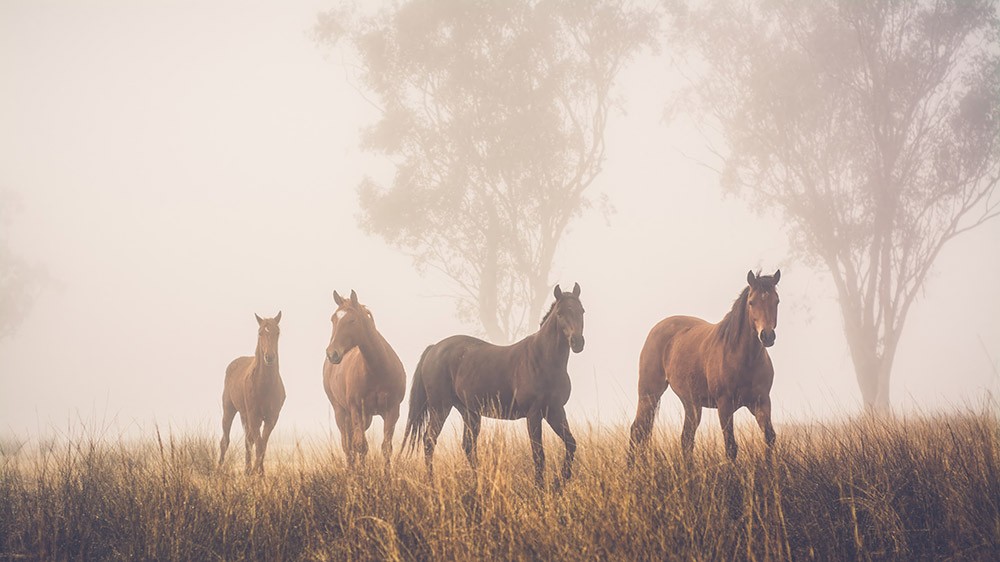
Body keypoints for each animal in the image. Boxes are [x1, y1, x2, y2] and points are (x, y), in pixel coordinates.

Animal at [217, 310, 284, 472]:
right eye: (260, 332)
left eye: (277, 332)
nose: (269, 357)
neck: (265, 386)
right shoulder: (254, 417)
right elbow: (259, 445)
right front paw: (256, 472)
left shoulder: (271, 419)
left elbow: (262, 445)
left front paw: (259, 472)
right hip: (230, 410)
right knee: (225, 441)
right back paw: (219, 469)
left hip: (245, 415)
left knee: (248, 441)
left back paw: (247, 470)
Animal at [326, 288, 408, 468]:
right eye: (333, 319)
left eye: (352, 320)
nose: (331, 353)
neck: (377, 370)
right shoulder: (356, 409)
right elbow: (360, 446)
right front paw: (361, 474)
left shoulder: (392, 410)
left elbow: (386, 448)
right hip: (341, 413)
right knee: (348, 447)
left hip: (366, 418)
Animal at [400, 282, 584, 484]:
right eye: (560, 314)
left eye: (581, 311)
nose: (577, 342)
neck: (543, 360)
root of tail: (434, 349)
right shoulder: (534, 414)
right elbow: (538, 454)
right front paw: (541, 486)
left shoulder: (555, 411)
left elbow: (571, 444)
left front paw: (560, 481)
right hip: (440, 408)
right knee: (429, 441)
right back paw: (432, 483)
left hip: (469, 412)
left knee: (468, 446)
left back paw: (478, 482)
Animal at [624, 270, 780, 460]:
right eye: (752, 302)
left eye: (776, 301)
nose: (767, 336)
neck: (743, 358)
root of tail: (656, 329)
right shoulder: (725, 405)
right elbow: (731, 448)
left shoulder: (761, 402)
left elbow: (769, 438)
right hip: (649, 394)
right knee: (637, 430)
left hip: (691, 404)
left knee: (686, 439)